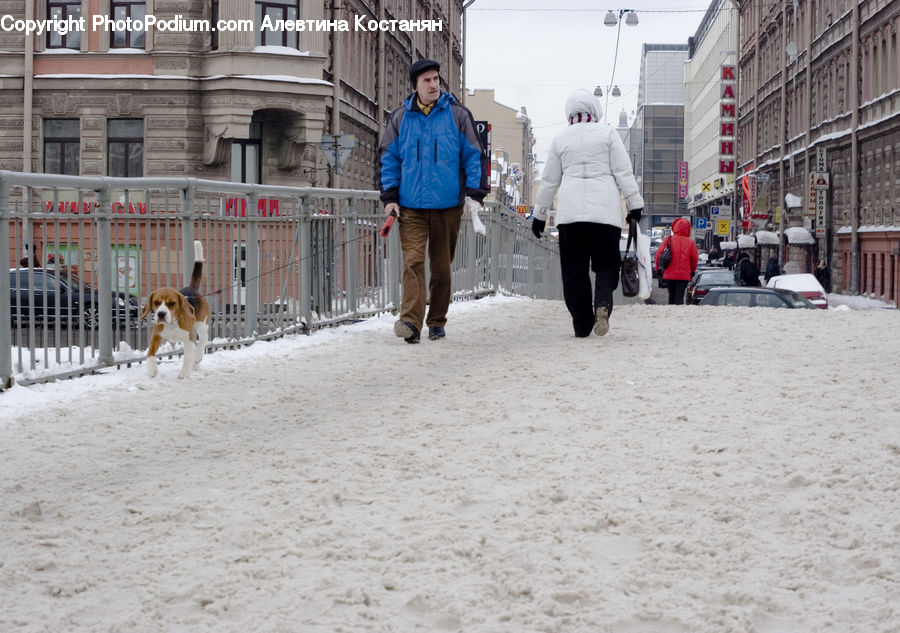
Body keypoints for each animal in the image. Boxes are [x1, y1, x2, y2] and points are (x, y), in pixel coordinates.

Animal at [140, 239, 210, 378]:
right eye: (155, 302)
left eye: (171, 303)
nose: (161, 314)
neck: (172, 323)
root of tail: (192, 288)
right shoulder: (156, 336)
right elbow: (150, 353)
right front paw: (152, 370)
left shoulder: (188, 338)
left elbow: (187, 357)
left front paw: (184, 374)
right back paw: (195, 365)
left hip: (201, 324)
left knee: (203, 340)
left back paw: (197, 358)